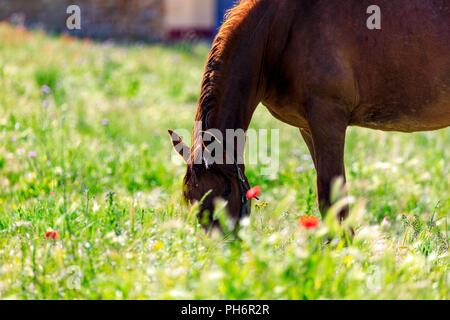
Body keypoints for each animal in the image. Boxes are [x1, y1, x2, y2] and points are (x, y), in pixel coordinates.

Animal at [170, 0, 450, 225]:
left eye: (227, 191)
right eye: (189, 197)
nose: (225, 244)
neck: (281, 27)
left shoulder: (328, 120)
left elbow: (331, 196)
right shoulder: (308, 127)